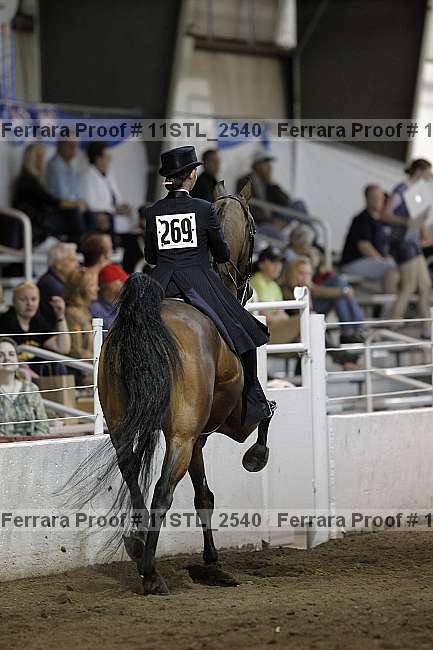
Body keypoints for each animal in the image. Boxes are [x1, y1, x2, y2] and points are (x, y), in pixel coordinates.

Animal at [97, 179, 273, 595]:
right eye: (254, 229)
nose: (249, 291)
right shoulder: (226, 425)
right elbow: (265, 414)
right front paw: (256, 456)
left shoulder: (199, 438)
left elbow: (204, 495)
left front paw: (212, 562)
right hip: (179, 435)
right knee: (162, 490)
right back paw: (151, 574)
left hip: (124, 428)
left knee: (132, 475)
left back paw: (137, 545)